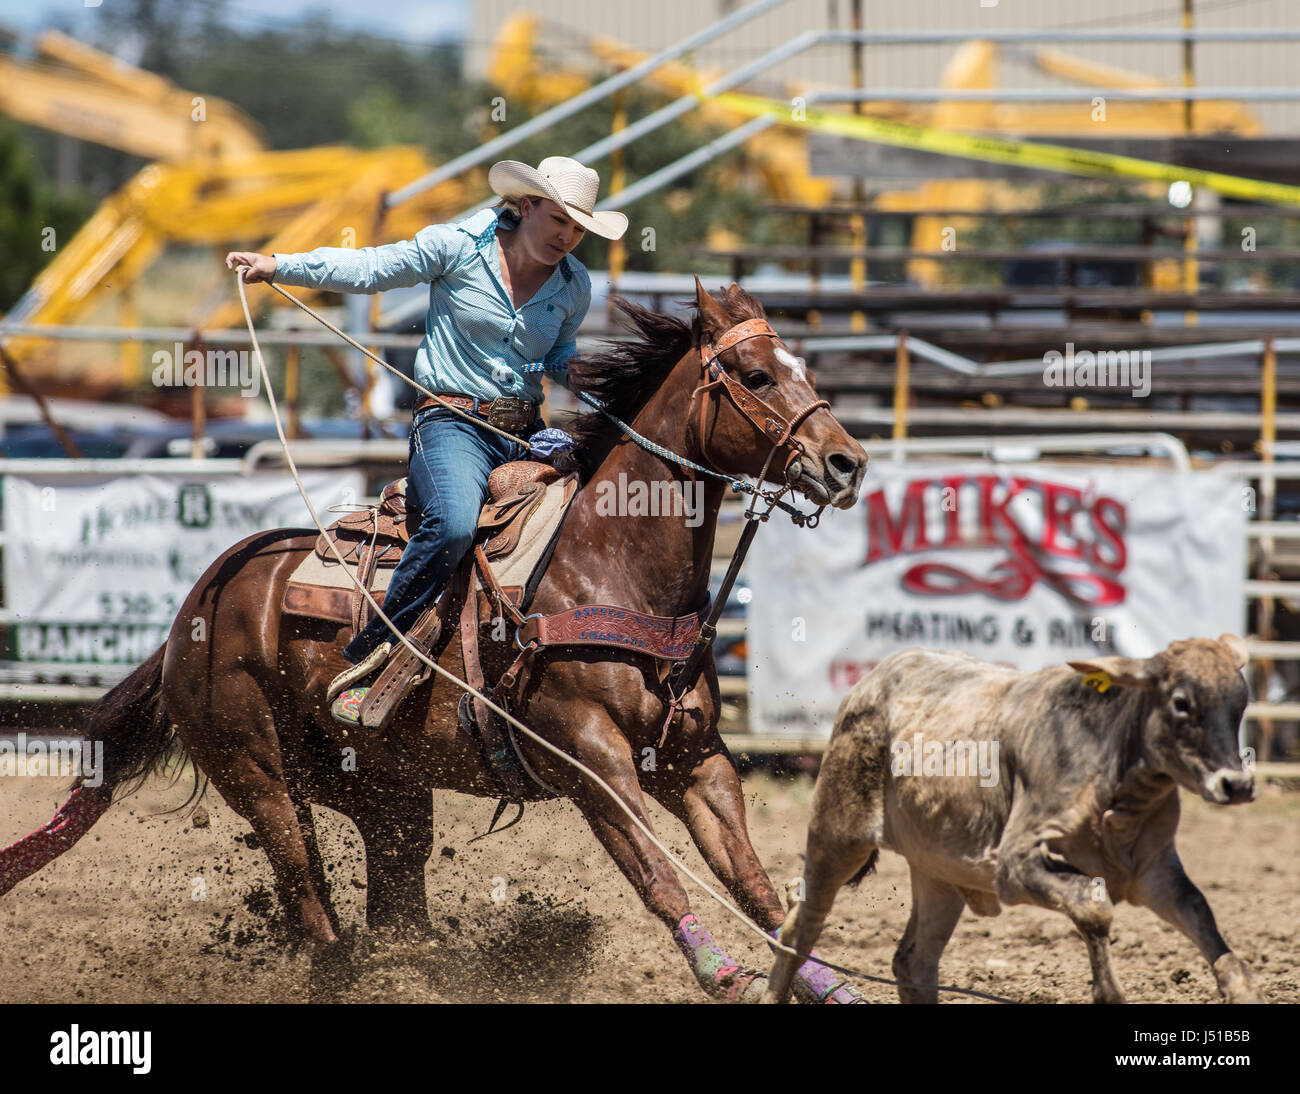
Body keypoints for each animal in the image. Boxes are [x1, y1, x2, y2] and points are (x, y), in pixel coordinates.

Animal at [764, 635, 1263, 1004]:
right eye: (1181, 702)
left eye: (1239, 704)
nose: (1237, 784)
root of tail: (871, 681)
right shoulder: (1015, 865)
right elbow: (1094, 904)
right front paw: (1108, 991)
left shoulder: (1155, 871)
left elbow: (1202, 916)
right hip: (837, 834)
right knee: (800, 929)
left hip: (937, 871)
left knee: (914, 959)